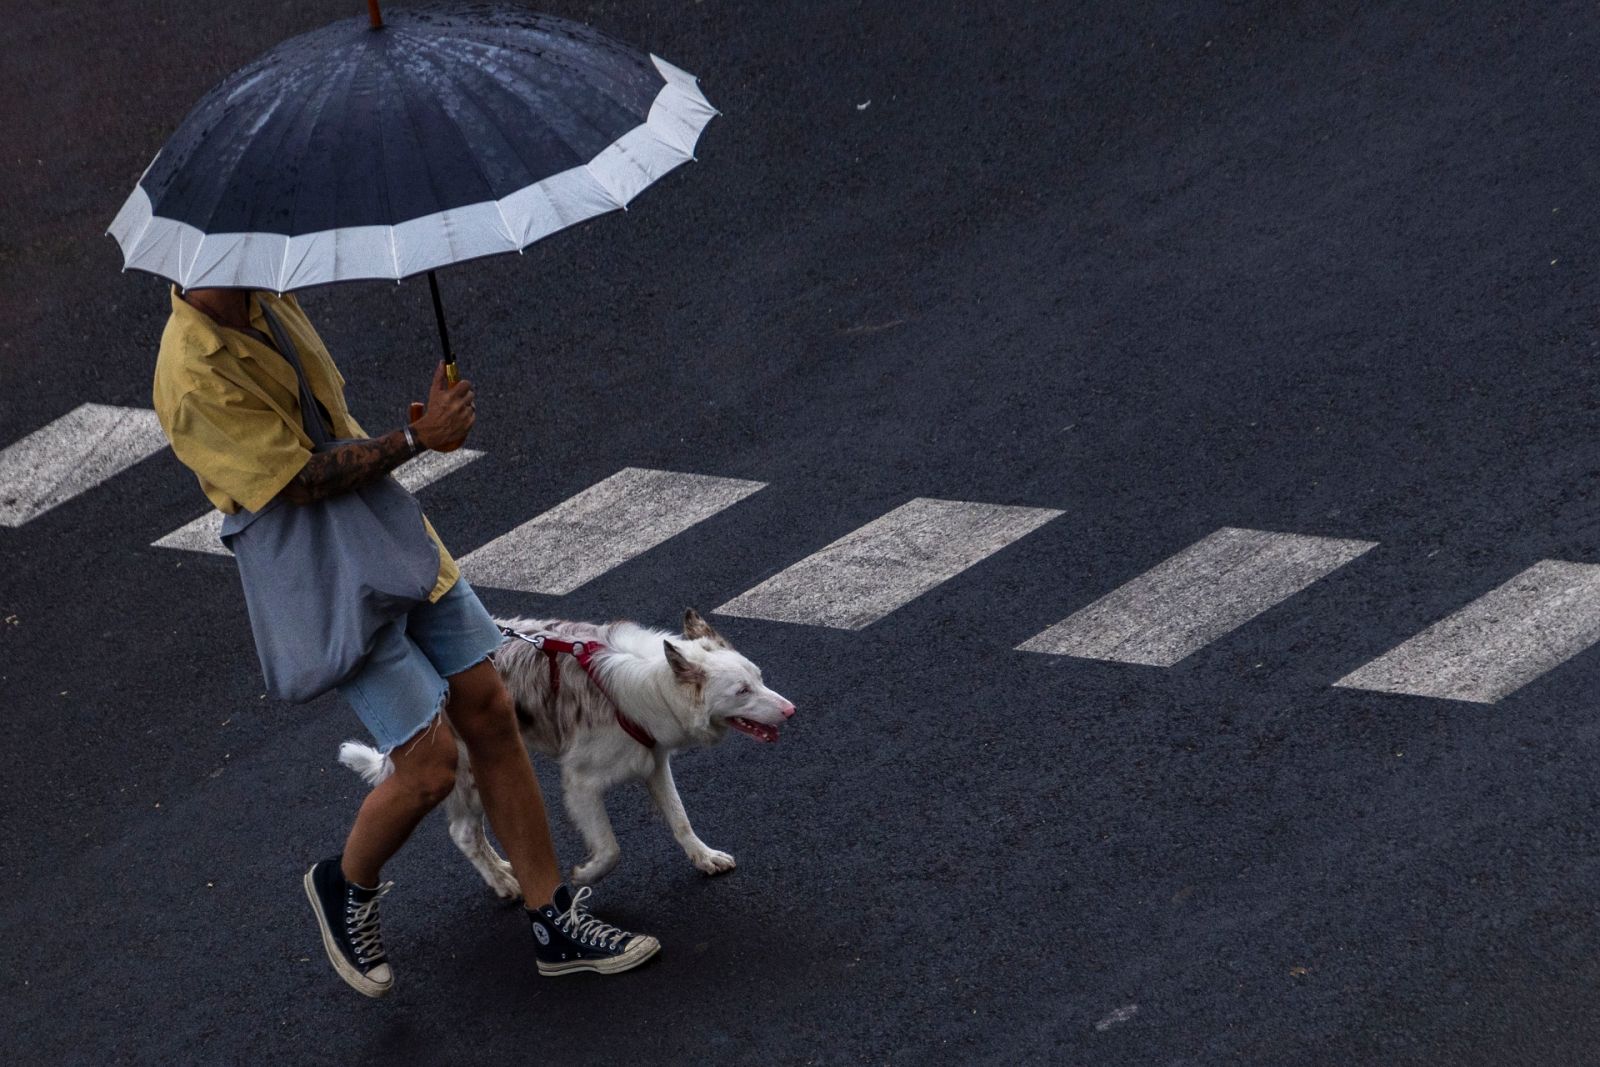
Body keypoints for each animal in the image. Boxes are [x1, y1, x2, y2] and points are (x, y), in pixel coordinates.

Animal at [339, 607, 793, 895]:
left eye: (759, 677)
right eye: (741, 691)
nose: (791, 710)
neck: (652, 684)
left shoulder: (653, 763)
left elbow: (680, 820)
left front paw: (705, 858)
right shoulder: (580, 784)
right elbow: (610, 848)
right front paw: (585, 876)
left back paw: (504, 868)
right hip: (468, 771)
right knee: (463, 833)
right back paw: (503, 882)